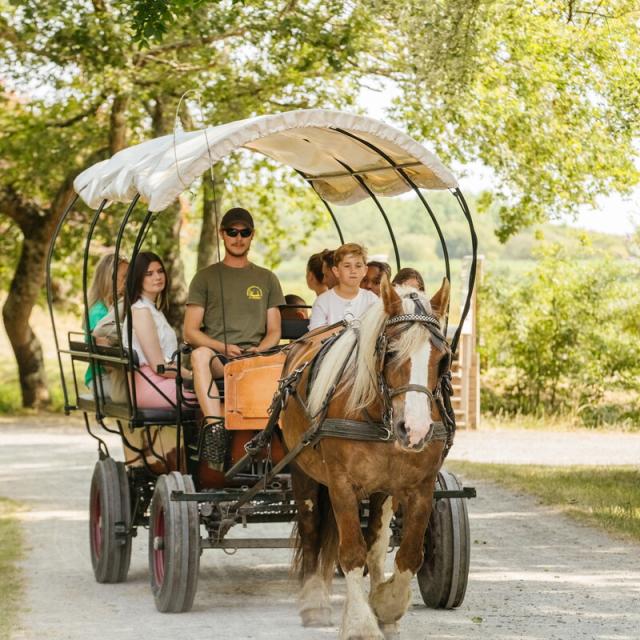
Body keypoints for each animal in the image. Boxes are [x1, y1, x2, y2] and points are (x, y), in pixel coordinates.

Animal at [282, 278, 456, 640]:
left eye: (443, 358)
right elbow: (350, 552)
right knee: (311, 529)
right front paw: (361, 624)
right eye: (390, 352)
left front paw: (386, 606)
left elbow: (408, 554)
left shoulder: (421, 487)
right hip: (304, 471)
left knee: (375, 544)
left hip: (381, 490)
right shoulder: (341, 485)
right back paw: (314, 602)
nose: (415, 430)